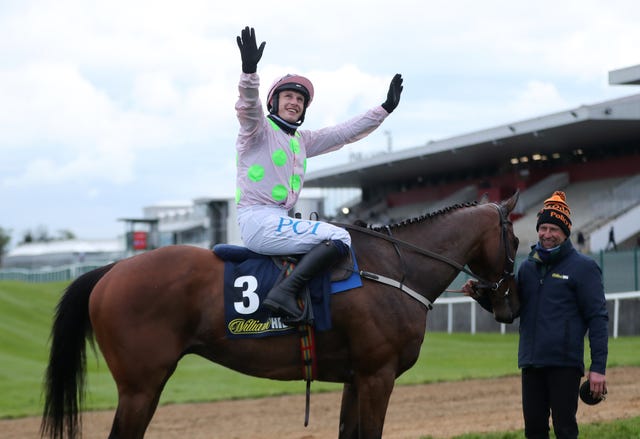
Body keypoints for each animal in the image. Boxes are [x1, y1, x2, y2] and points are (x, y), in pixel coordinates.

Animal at [40, 192, 520, 439]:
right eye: (515, 239)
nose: (508, 304)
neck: (394, 267)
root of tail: (112, 269)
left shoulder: (356, 378)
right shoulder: (377, 375)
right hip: (141, 388)